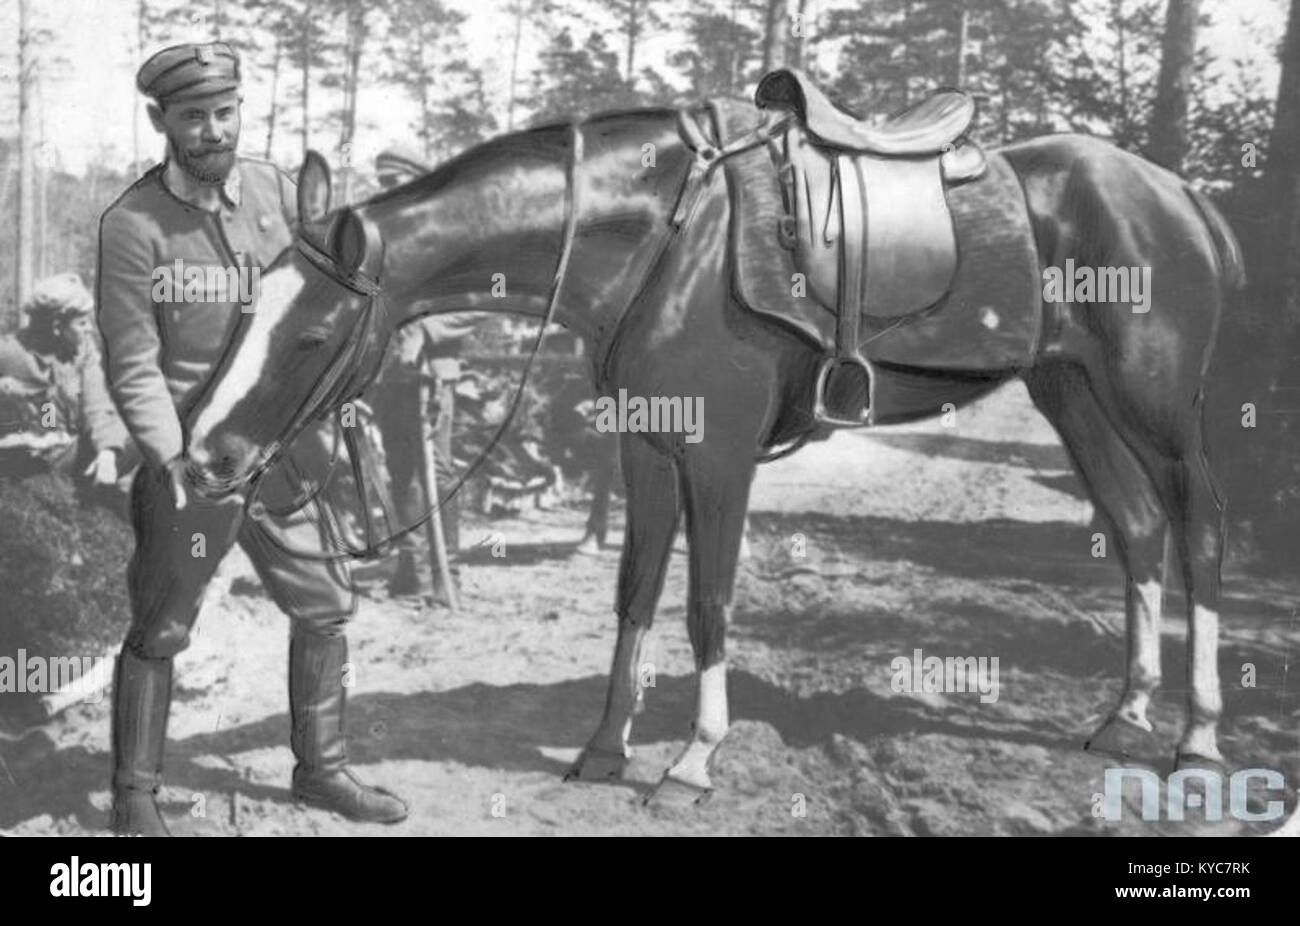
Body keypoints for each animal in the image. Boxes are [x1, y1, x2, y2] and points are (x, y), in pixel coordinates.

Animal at [179, 95, 1245, 804]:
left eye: (313, 335)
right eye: (245, 309)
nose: (204, 456)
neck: (661, 237)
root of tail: (1180, 194)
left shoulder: (720, 455)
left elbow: (707, 604)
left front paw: (692, 761)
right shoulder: (648, 452)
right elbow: (636, 594)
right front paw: (604, 751)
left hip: (1157, 404)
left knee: (1197, 531)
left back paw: (1197, 740)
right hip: (1073, 393)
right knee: (1137, 530)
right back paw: (1123, 718)